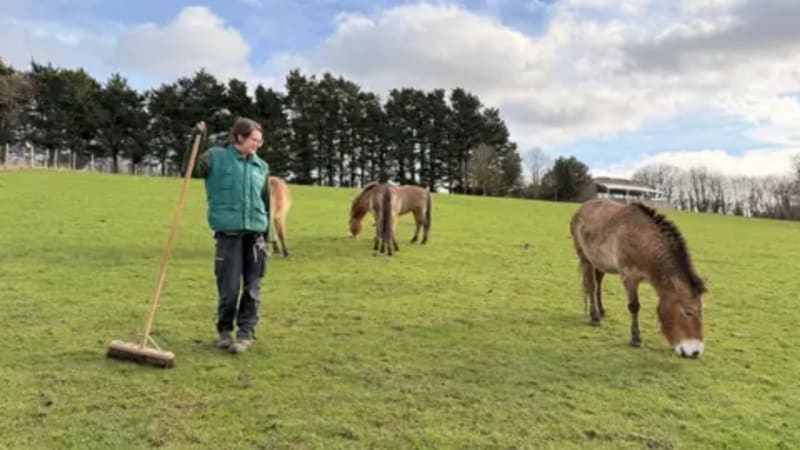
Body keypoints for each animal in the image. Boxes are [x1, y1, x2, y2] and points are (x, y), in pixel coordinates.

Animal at [569, 199, 707, 358]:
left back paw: (601, 311)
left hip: (599, 262)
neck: (643, 241)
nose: (695, 352)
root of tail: (582, 207)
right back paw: (595, 317)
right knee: (592, 286)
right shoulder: (629, 277)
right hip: (585, 257)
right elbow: (634, 306)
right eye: (688, 312)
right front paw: (636, 338)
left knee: (598, 284)